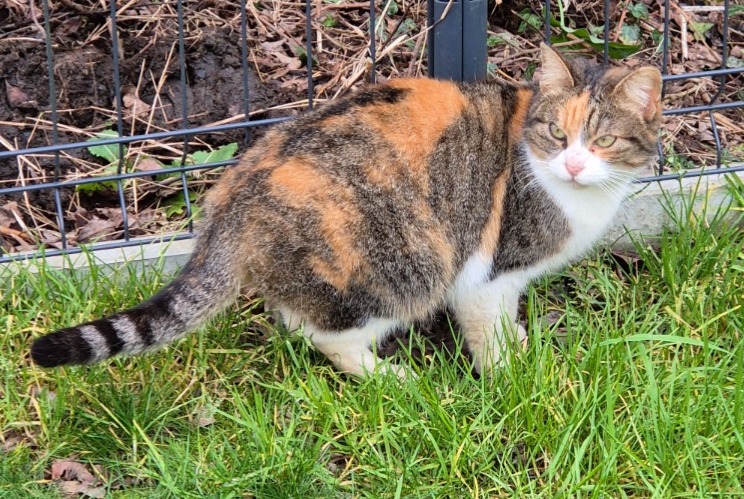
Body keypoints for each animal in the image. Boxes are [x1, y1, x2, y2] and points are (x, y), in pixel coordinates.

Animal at [30, 44, 664, 378]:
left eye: (603, 141)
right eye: (557, 133)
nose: (574, 164)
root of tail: (232, 193)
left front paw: (525, 348)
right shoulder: (486, 274)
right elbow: (489, 330)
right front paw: (514, 375)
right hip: (408, 267)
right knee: (328, 336)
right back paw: (392, 378)